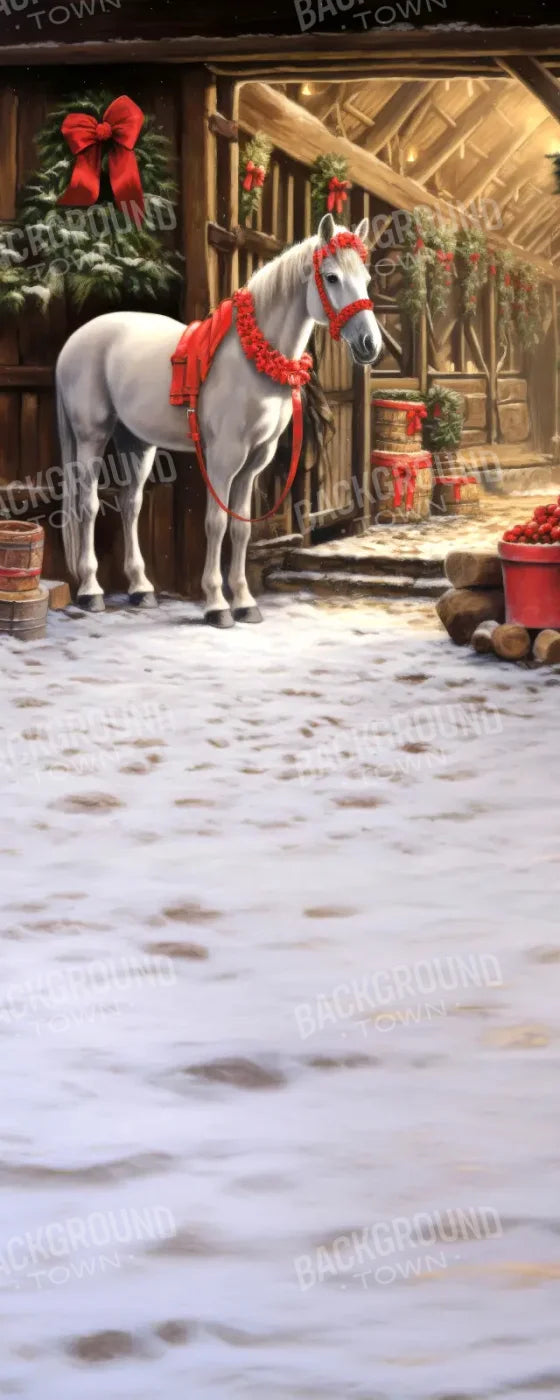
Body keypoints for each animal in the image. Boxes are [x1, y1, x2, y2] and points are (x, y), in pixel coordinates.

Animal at [56, 212, 383, 626]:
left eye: (367, 279)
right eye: (332, 277)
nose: (370, 345)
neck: (251, 358)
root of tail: (74, 342)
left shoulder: (255, 461)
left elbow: (241, 528)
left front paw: (244, 602)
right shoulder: (224, 457)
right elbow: (215, 523)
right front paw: (216, 604)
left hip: (137, 442)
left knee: (130, 504)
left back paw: (141, 589)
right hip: (91, 437)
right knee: (88, 505)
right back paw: (91, 591)